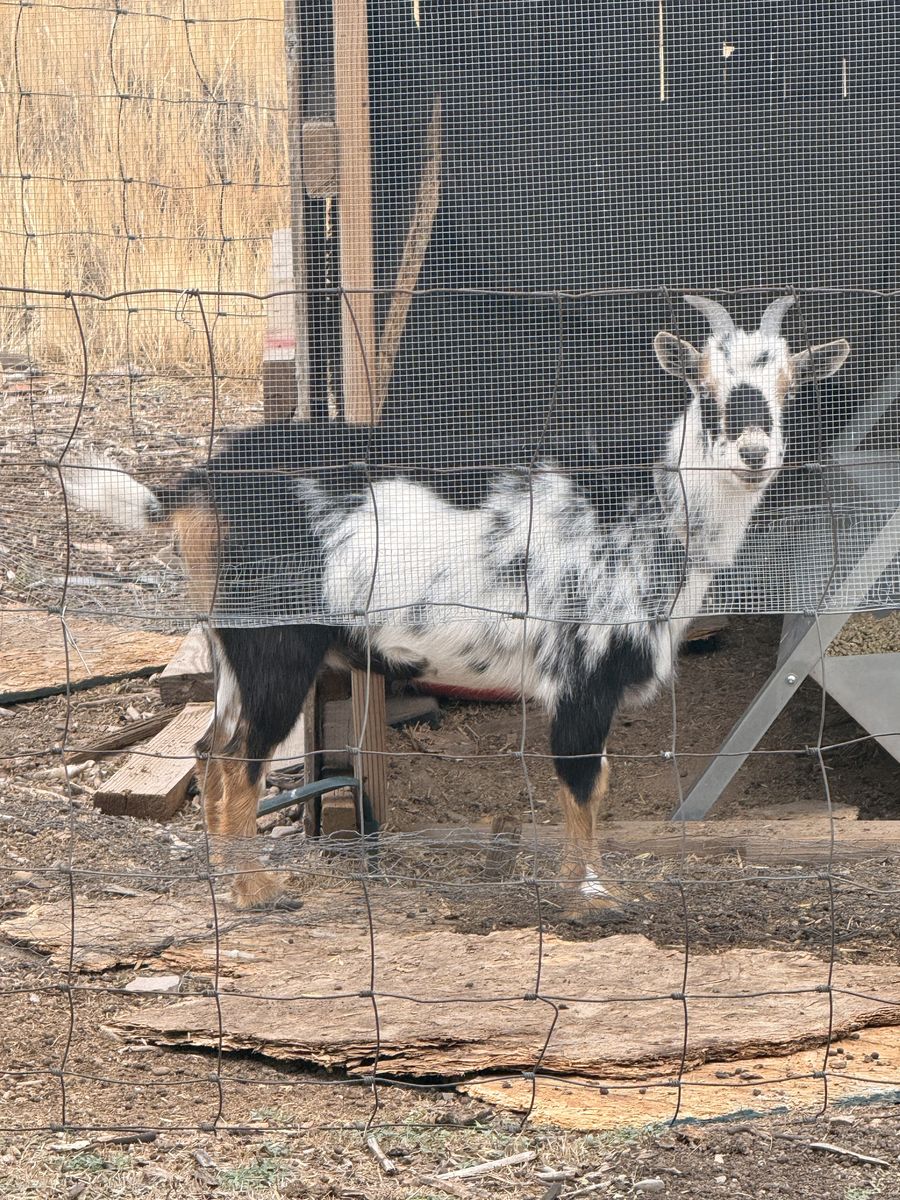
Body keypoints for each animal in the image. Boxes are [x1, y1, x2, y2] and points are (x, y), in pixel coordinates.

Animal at [62, 295, 849, 914]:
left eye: (788, 388)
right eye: (706, 389)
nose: (754, 453)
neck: (655, 507)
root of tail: (199, 486)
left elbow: (592, 785)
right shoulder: (581, 674)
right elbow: (584, 783)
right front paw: (592, 894)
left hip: (230, 646)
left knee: (208, 751)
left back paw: (230, 883)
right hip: (275, 646)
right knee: (241, 761)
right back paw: (257, 895)